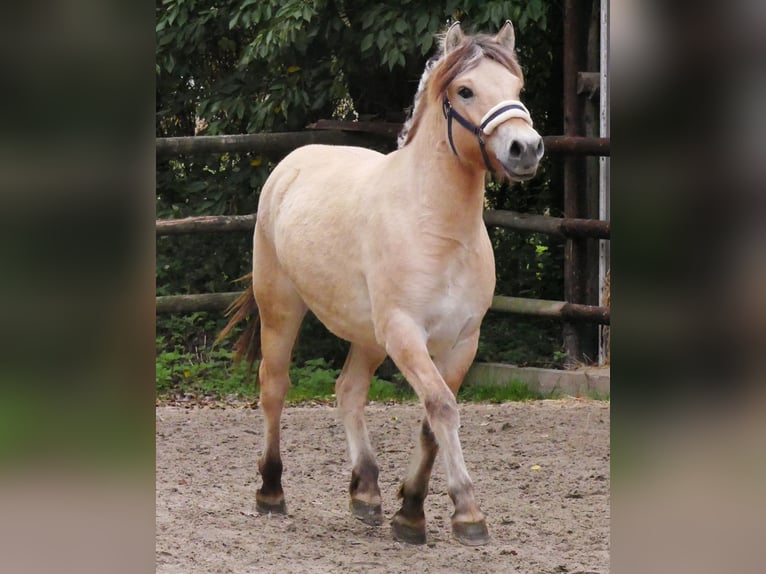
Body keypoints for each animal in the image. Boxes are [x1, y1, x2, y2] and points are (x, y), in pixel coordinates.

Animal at [218, 20, 543, 547]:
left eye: (517, 88)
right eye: (465, 90)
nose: (526, 148)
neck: (437, 226)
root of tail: (292, 163)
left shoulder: (462, 342)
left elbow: (431, 419)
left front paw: (409, 512)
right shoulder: (405, 332)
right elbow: (442, 407)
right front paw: (466, 512)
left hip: (367, 336)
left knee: (348, 391)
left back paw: (366, 492)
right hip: (282, 307)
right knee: (274, 386)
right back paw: (271, 491)